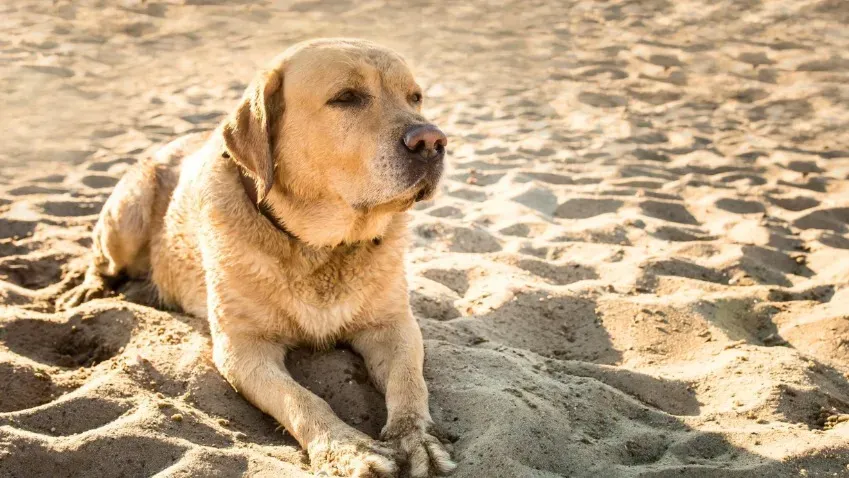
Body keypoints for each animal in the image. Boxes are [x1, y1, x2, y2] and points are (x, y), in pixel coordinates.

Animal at [58, 38, 454, 478]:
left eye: (415, 97)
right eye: (347, 97)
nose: (433, 141)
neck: (319, 248)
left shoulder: (394, 325)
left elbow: (409, 384)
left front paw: (416, 438)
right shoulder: (243, 349)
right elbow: (302, 400)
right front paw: (346, 448)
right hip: (128, 214)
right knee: (102, 260)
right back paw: (88, 289)